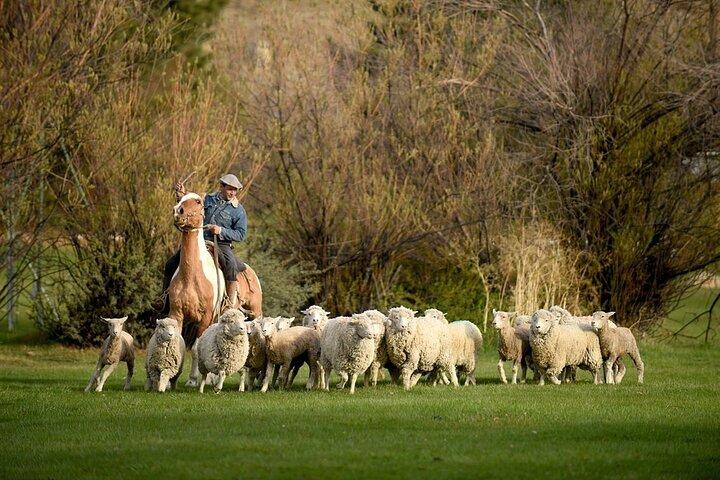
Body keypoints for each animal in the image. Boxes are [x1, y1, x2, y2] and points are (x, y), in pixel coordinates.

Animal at [169, 192, 262, 387]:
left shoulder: (205, 316)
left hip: (255, 312)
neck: (192, 276)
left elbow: (196, 348)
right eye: (180, 198)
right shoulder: (176, 313)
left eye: (198, 201)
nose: (178, 211)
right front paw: (170, 380)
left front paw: (192, 380)